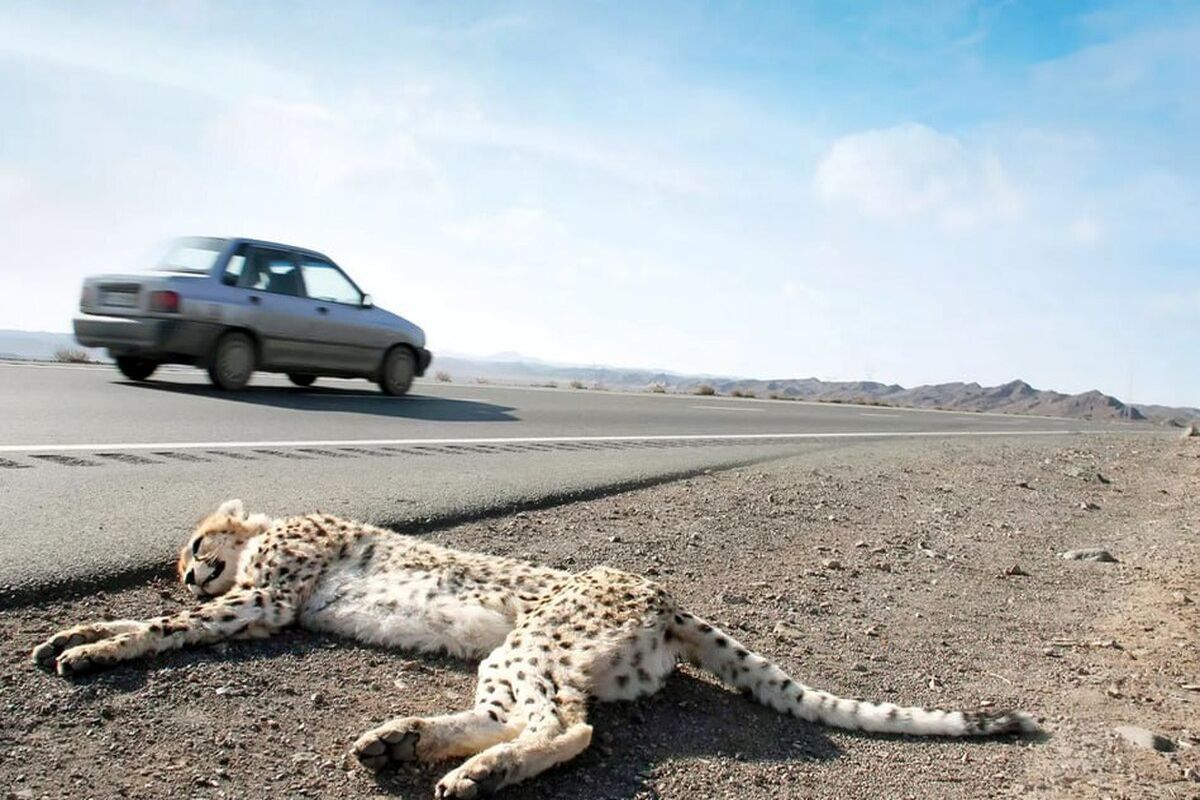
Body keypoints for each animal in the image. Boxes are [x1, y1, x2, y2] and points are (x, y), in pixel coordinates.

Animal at [32, 501, 1036, 796]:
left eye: (195, 544)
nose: (183, 569)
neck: (266, 533)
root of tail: (660, 592)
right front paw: (72, 633)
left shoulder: (266, 602)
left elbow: (162, 632)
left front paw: (89, 648)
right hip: (533, 659)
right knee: (532, 719)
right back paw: (401, 742)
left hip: (533, 648)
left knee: (568, 730)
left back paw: (474, 774)